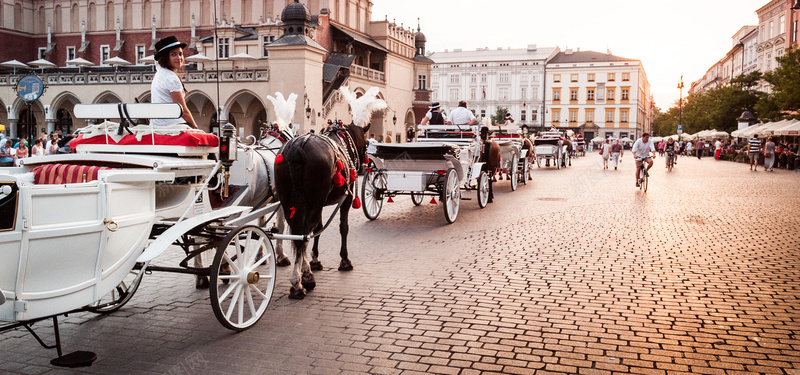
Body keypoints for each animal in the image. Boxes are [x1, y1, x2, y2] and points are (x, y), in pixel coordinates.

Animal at [270, 122, 368, 300]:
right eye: (366, 144)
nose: (366, 164)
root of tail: (298, 147)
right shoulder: (346, 198)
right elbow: (343, 228)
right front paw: (344, 260)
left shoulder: (319, 204)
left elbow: (318, 229)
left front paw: (315, 259)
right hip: (314, 201)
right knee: (303, 235)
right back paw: (300, 282)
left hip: (289, 201)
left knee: (298, 233)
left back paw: (303, 274)